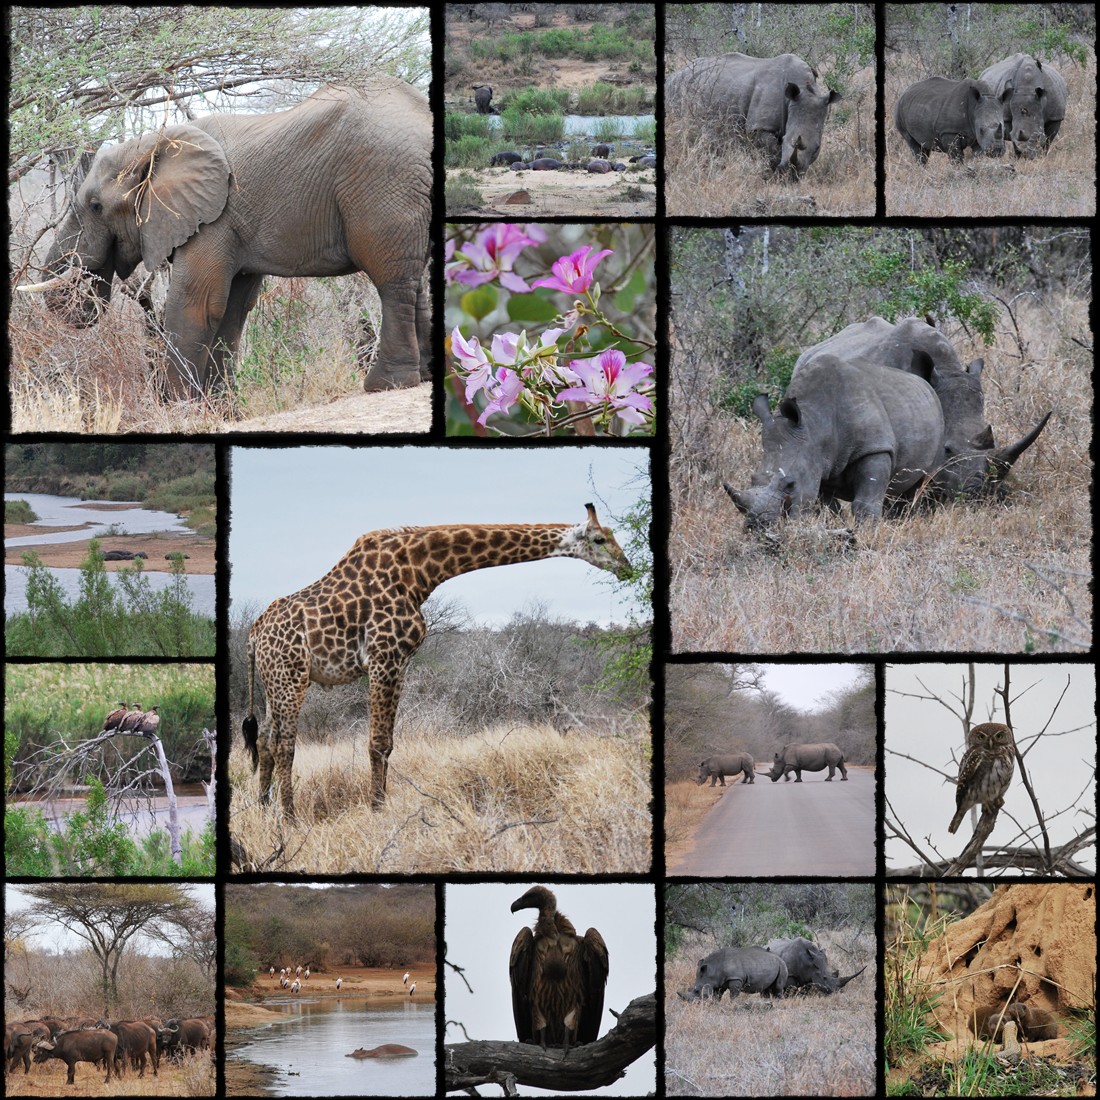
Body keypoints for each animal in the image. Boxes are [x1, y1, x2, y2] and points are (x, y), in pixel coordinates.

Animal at [18, 81, 429, 402]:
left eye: (95, 206)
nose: (83, 301)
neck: (152, 145)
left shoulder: (214, 218)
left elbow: (198, 303)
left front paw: (180, 407)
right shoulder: (233, 226)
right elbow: (232, 308)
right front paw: (220, 408)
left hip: (384, 183)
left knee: (391, 280)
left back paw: (385, 385)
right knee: (416, 281)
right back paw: (423, 376)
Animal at [244, 503, 633, 818]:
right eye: (599, 539)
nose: (626, 568)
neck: (419, 571)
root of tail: (253, 634)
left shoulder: (400, 662)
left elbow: (388, 742)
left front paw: (379, 805)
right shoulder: (384, 656)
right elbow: (377, 743)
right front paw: (377, 810)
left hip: (272, 683)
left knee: (263, 741)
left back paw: (263, 811)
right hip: (291, 678)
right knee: (283, 744)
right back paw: (289, 819)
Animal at [664, 51, 836, 176]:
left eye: (817, 148)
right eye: (786, 139)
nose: (793, 174)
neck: (806, 89)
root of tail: (674, 74)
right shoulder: (759, 127)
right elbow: (772, 150)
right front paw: (776, 175)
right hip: (677, 90)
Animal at [721, 352, 946, 523]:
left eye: (790, 485)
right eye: (753, 478)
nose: (759, 524)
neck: (815, 424)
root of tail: (925, 384)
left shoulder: (875, 448)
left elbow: (865, 503)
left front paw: (867, 532)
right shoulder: (819, 462)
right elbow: (829, 508)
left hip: (939, 419)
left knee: (919, 484)